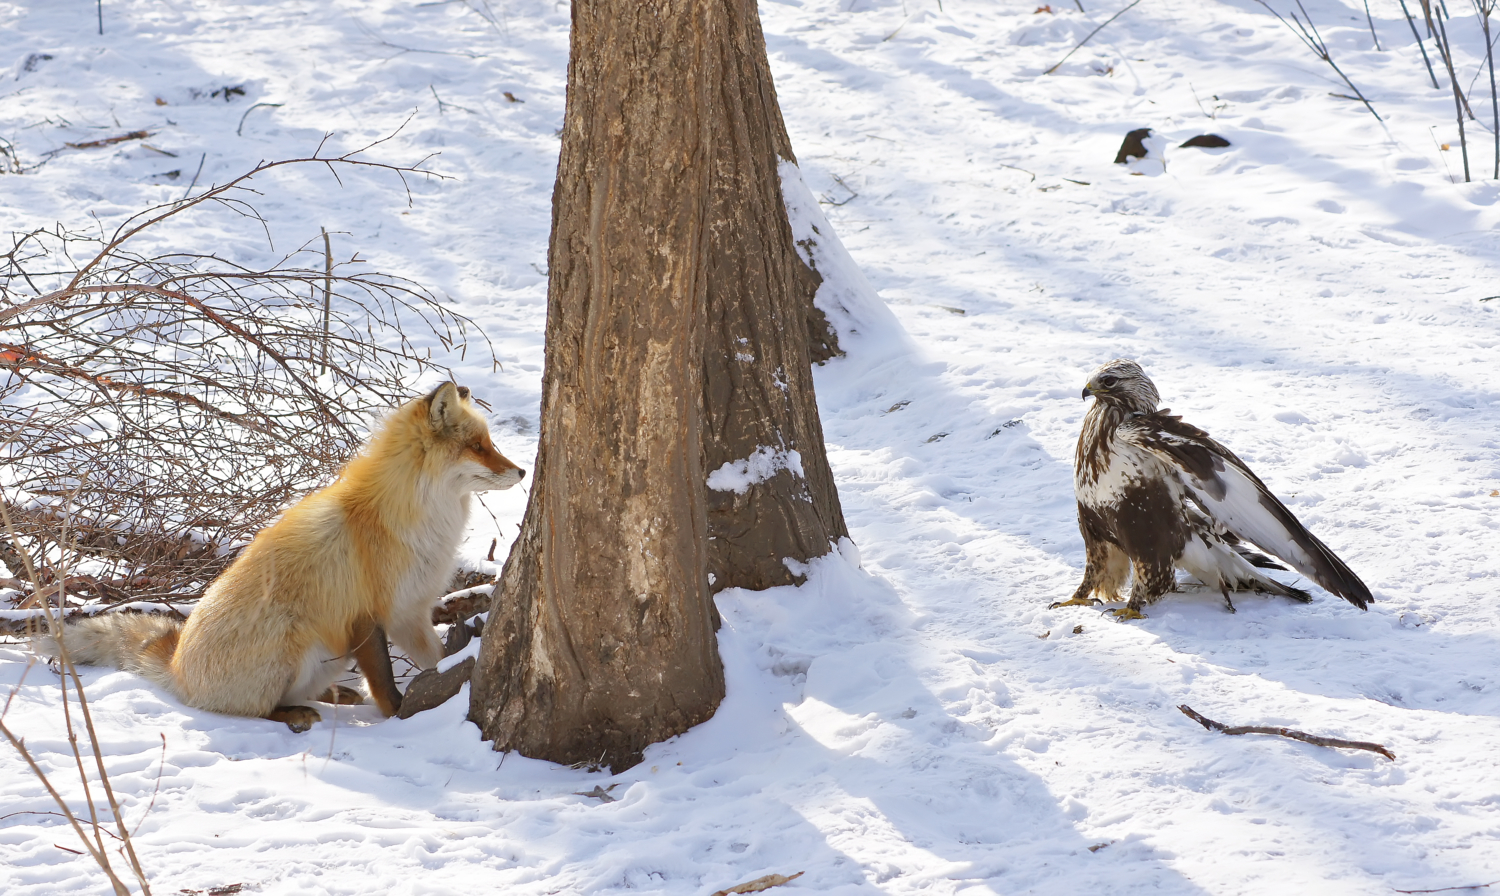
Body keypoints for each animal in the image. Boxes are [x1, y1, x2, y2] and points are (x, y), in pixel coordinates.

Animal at [32, 381, 525, 729]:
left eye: (489, 443)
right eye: (478, 446)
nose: (522, 470)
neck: (402, 515)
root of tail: (175, 663)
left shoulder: (409, 612)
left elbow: (436, 660)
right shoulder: (368, 615)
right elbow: (385, 683)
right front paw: (399, 716)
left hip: (331, 652)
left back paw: (335, 696)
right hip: (298, 641)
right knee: (254, 710)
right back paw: (297, 714)